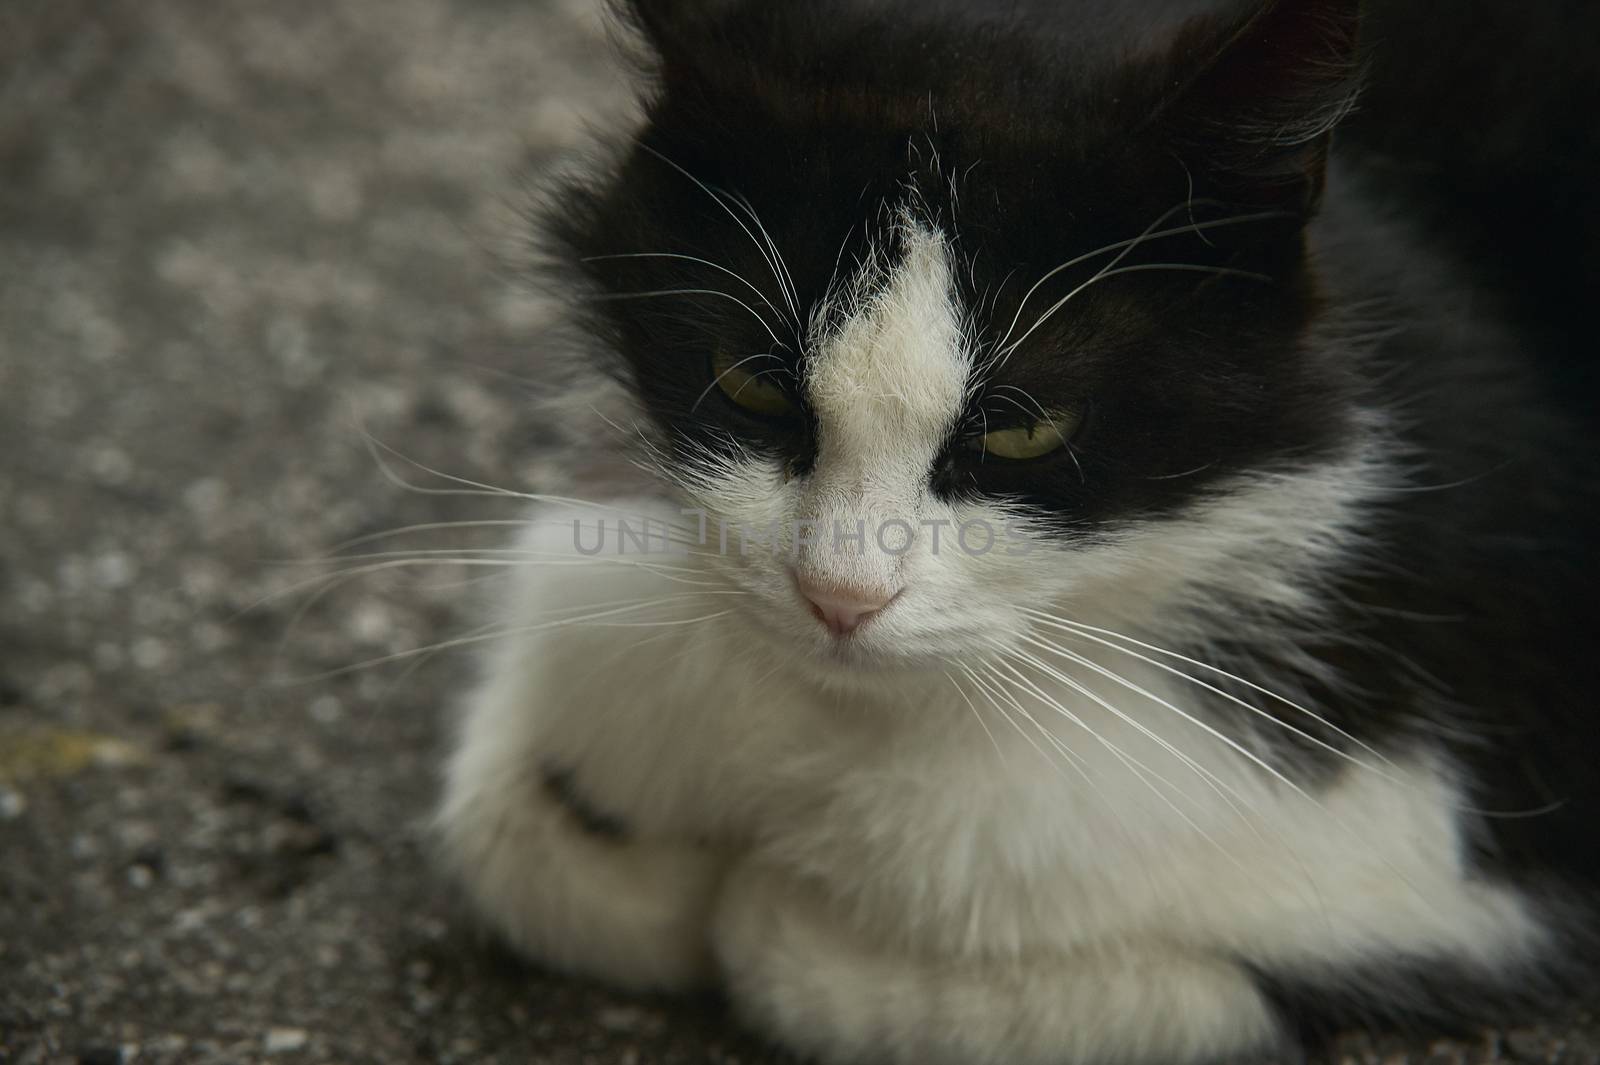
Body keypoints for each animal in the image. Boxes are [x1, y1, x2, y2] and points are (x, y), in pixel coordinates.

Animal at [432, 2, 1593, 1061]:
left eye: (1025, 429)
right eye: (751, 382)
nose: (839, 597)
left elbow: (800, 944)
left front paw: (782, 916)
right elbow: (511, 821)